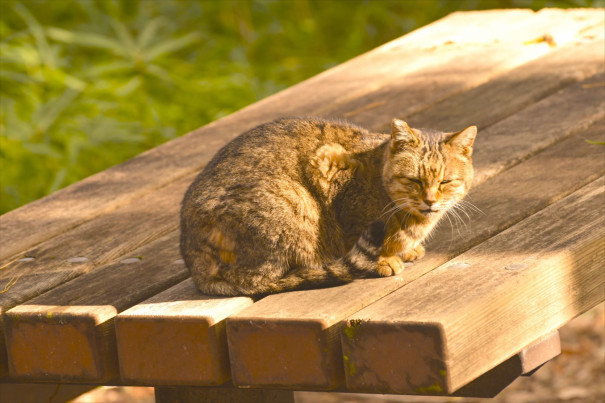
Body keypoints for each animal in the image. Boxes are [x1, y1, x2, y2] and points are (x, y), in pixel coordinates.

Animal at [179, 117, 476, 296]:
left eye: (445, 182)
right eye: (414, 180)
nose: (430, 200)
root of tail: (194, 262)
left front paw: (408, 250)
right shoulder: (328, 166)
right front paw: (384, 260)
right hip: (295, 204)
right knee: (256, 279)